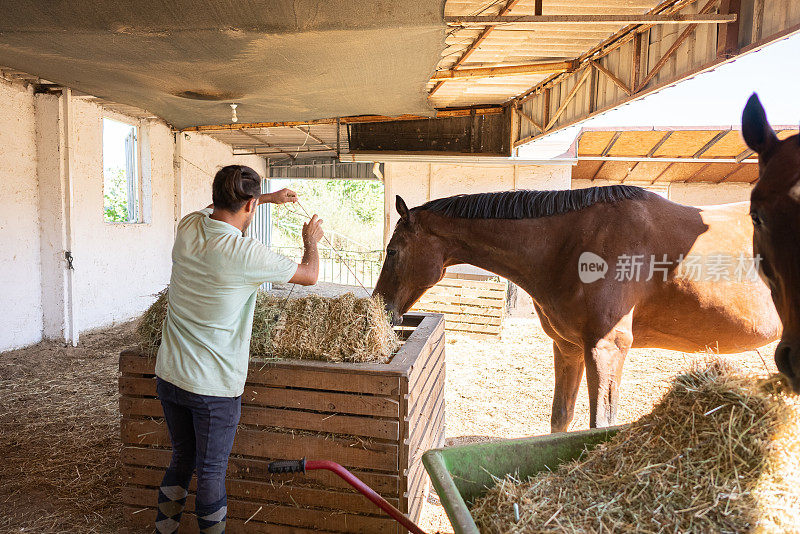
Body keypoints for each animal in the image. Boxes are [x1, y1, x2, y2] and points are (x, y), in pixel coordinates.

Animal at [376, 188, 780, 432]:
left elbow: (600, 424)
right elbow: (561, 419)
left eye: (392, 251)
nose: (383, 309)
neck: (574, 243)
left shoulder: (606, 349)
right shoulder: (568, 347)